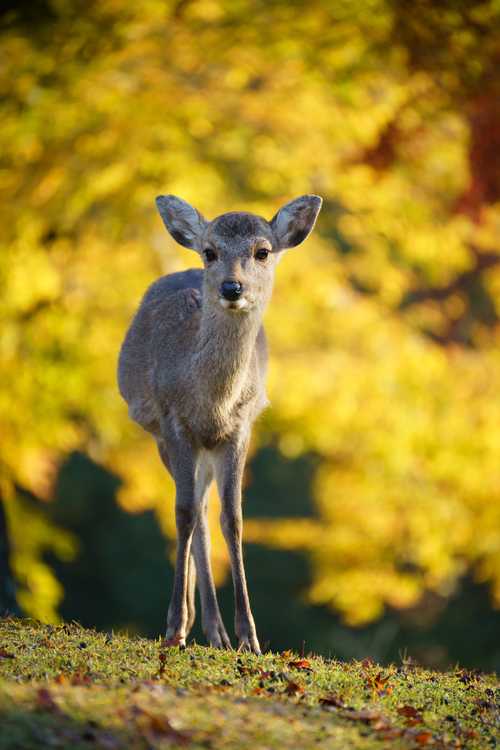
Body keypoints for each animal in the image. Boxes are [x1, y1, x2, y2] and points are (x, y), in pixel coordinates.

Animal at [117, 192, 322, 652]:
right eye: (211, 251)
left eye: (262, 251)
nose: (232, 287)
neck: (213, 404)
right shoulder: (173, 421)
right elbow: (183, 513)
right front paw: (173, 626)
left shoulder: (240, 428)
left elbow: (234, 518)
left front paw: (250, 637)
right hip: (162, 437)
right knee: (195, 509)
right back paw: (195, 624)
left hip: (207, 451)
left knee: (207, 507)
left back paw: (216, 631)